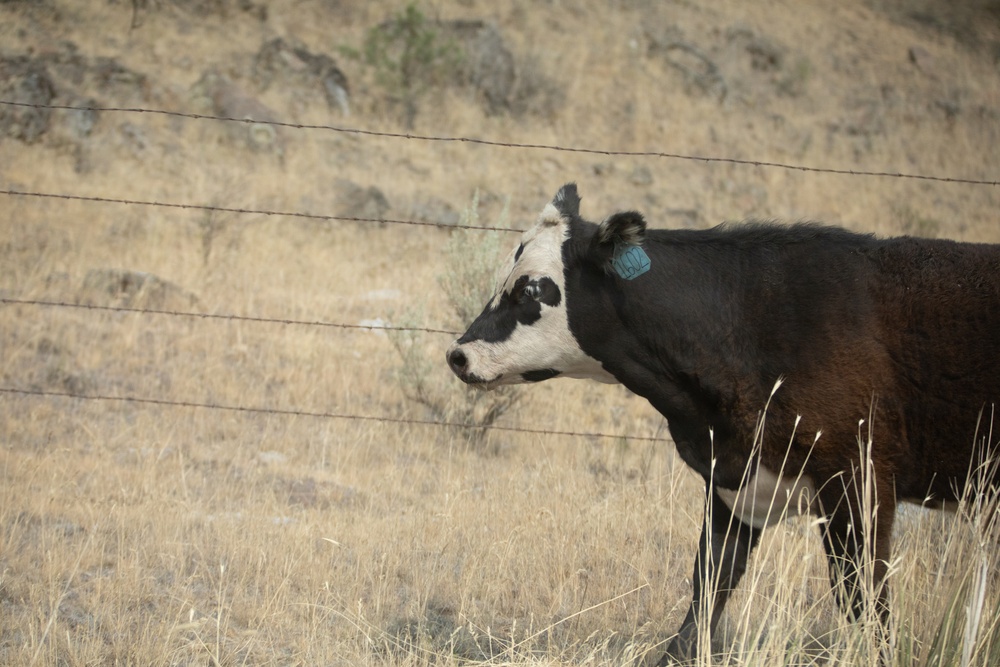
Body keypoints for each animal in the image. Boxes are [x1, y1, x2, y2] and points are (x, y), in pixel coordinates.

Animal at [445, 183, 1000, 663]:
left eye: (532, 290)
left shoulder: (860, 485)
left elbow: (868, 608)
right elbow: (704, 599)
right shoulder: (733, 488)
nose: (458, 355)